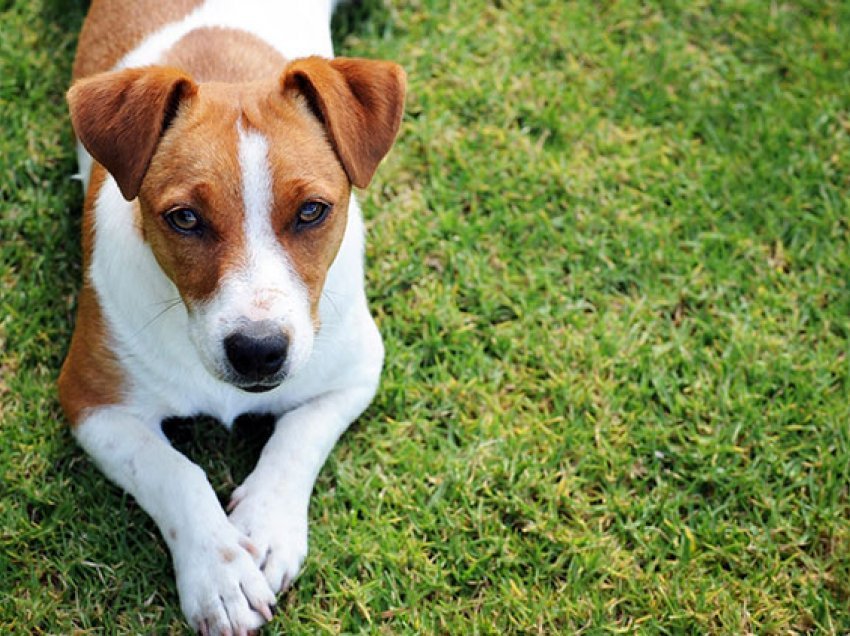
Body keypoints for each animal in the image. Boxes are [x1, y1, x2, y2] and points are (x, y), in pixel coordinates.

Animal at [58, 2, 404, 632]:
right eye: (185, 218)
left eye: (312, 211)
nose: (259, 351)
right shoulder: (93, 402)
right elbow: (173, 472)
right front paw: (219, 574)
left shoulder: (355, 372)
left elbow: (297, 438)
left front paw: (265, 529)